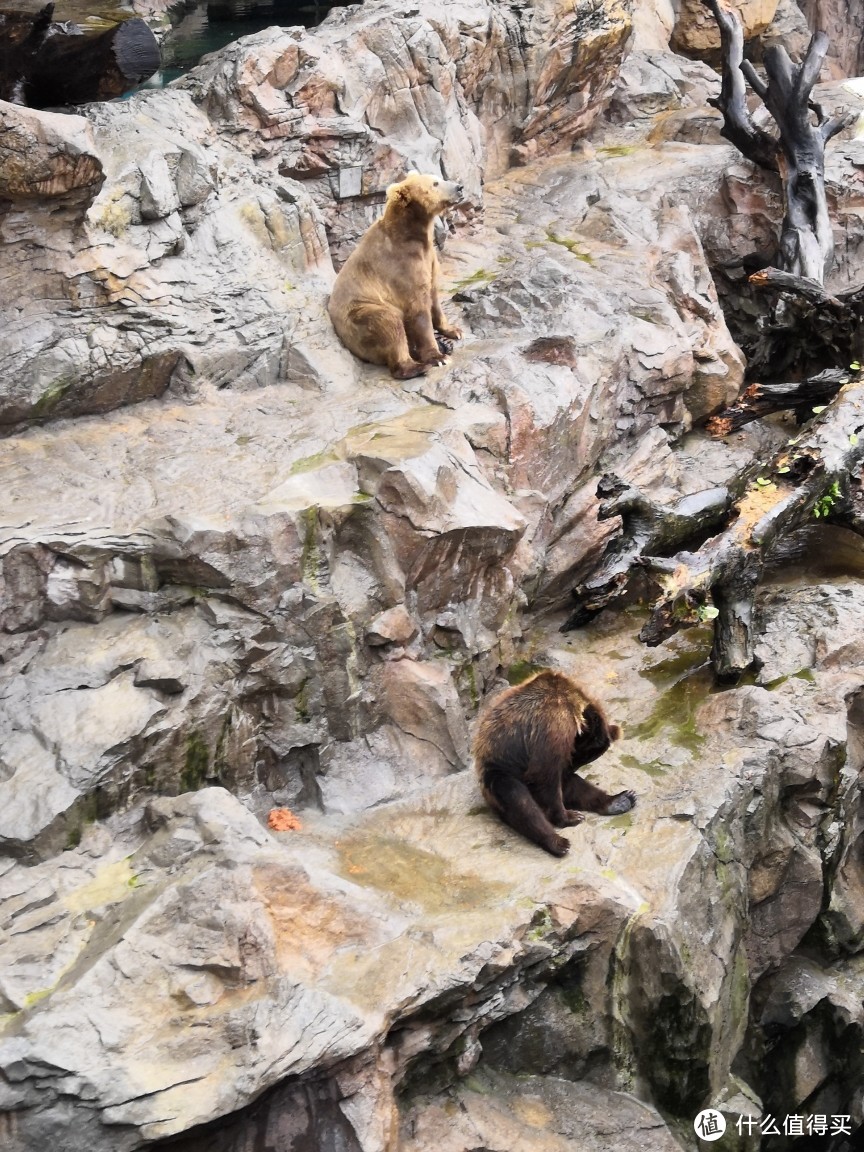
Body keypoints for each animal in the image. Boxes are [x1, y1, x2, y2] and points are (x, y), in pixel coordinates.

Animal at [329, 172, 467, 377]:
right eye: (435, 183)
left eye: (439, 178)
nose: (459, 187)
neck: (413, 233)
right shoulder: (401, 265)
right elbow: (418, 309)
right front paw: (437, 357)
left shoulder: (429, 259)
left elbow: (434, 296)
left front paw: (454, 330)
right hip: (360, 314)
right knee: (389, 324)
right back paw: (416, 365)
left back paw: (444, 345)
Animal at [474, 672, 635, 861]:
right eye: (583, 757)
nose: (569, 770)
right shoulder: (551, 728)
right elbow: (543, 777)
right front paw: (568, 817)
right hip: (499, 775)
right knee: (521, 802)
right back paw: (559, 842)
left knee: (576, 787)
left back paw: (621, 800)